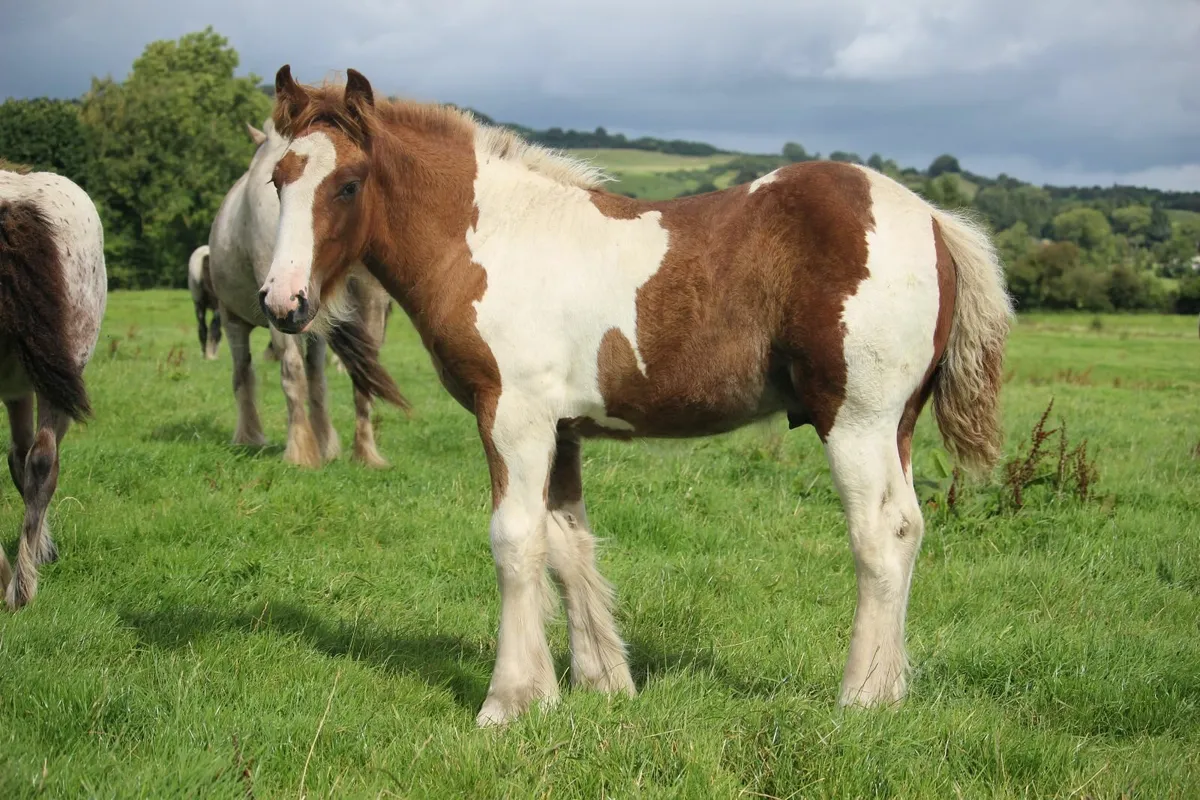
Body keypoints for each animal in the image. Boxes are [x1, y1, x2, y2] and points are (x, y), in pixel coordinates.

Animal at [260, 68, 1012, 729]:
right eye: (277, 181)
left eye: (349, 184)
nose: (282, 302)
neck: (491, 239)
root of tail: (934, 220)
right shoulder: (559, 428)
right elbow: (567, 546)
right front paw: (599, 685)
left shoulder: (513, 415)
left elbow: (514, 540)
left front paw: (509, 701)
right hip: (898, 425)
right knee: (909, 527)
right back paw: (892, 690)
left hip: (856, 421)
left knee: (879, 535)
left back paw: (860, 698)